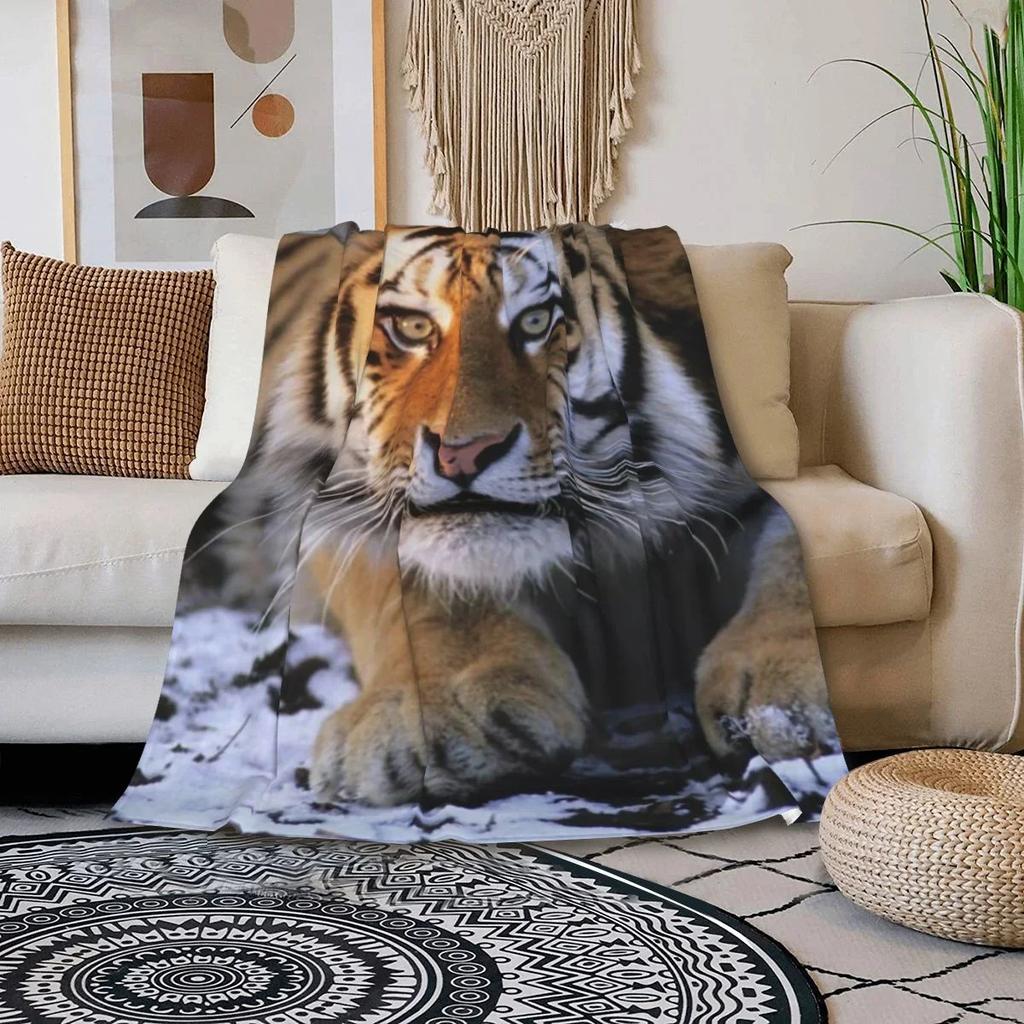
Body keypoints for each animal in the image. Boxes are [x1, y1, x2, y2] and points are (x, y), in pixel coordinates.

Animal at [221, 224, 835, 808]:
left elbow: (790, 552)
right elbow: (420, 581)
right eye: (414, 329)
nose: (463, 452)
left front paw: (786, 698)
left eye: (538, 323)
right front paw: (432, 709)